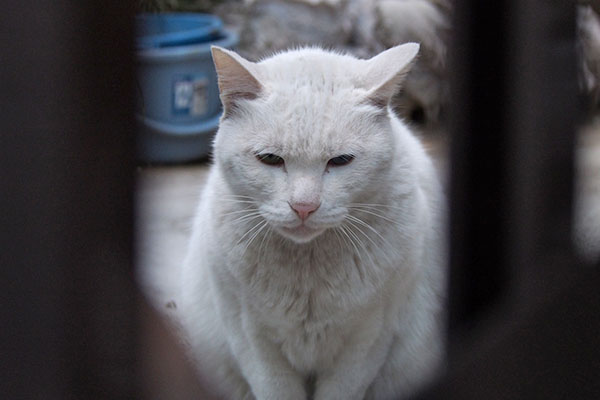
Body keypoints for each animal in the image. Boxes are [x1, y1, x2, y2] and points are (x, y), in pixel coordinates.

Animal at [178, 43, 446, 400]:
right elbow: (275, 390)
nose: (304, 206)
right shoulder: (250, 339)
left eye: (341, 160)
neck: (307, 268)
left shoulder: (370, 339)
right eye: (270, 159)